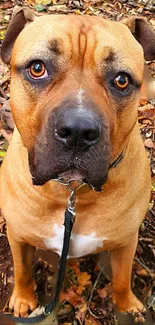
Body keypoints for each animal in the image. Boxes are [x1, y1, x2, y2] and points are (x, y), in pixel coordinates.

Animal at [0, 6, 154, 318]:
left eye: (122, 80)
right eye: (37, 68)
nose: (78, 131)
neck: (70, 190)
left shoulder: (125, 243)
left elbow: (122, 279)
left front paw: (128, 306)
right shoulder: (18, 235)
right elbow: (22, 270)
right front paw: (23, 299)